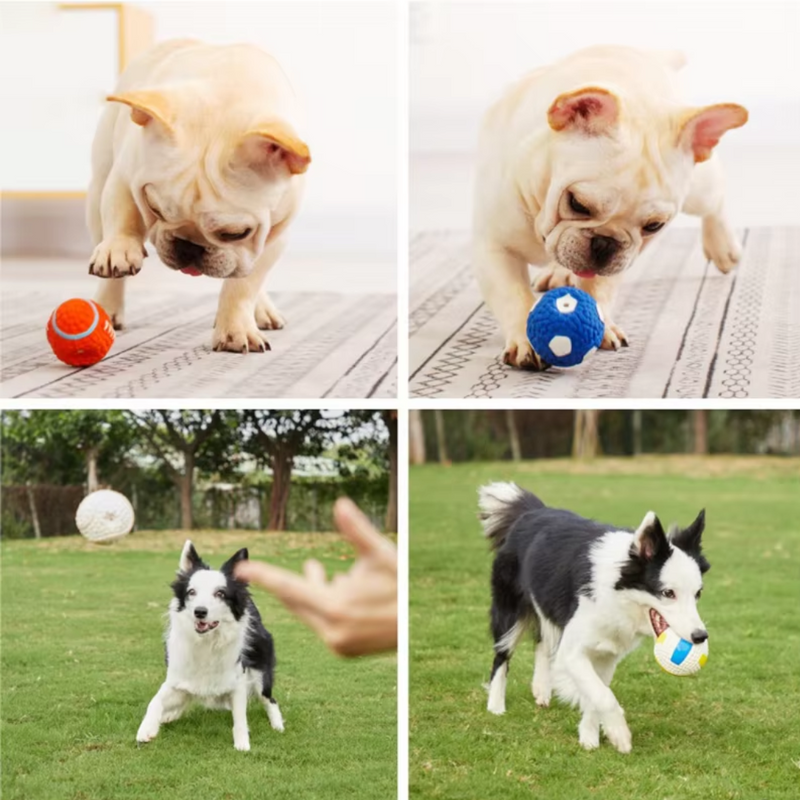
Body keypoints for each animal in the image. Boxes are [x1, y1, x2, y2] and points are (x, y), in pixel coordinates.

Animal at [137, 540, 284, 752]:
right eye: (192, 592)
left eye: (220, 593)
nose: (200, 611)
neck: (207, 641)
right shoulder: (175, 678)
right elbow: (155, 700)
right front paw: (146, 728)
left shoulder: (238, 680)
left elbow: (240, 717)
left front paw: (242, 743)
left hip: (260, 672)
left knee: (269, 699)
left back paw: (277, 724)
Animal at [478, 484, 708, 752]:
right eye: (668, 593)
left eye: (698, 593)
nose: (700, 636)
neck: (619, 596)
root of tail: (533, 512)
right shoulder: (573, 651)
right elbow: (603, 695)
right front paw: (619, 734)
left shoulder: (606, 652)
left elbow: (595, 693)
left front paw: (589, 737)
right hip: (509, 610)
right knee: (502, 655)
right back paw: (496, 705)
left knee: (542, 641)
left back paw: (541, 690)